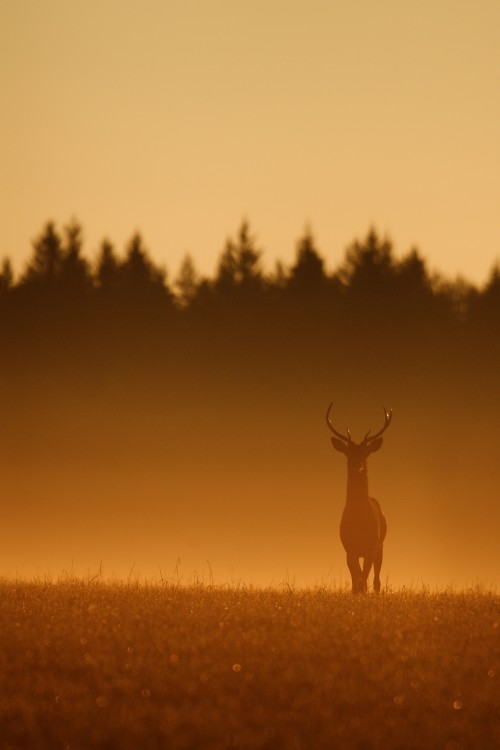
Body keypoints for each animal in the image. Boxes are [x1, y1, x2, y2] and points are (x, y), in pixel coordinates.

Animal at [326, 406, 392, 592]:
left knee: (376, 581)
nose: (358, 465)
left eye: (366, 453)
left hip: (380, 547)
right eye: (348, 453)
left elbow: (364, 581)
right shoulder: (349, 549)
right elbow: (356, 583)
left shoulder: (370, 547)